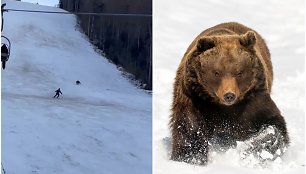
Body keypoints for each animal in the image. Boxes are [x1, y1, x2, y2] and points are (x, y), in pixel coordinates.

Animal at [170, 22, 290, 165]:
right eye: (216, 72)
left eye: (239, 72)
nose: (229, 95)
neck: (223, 107)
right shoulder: (196, 99)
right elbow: (190, 129)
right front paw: (189, 158)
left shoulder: (252, 100)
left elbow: (271, 123)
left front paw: (253, 150)